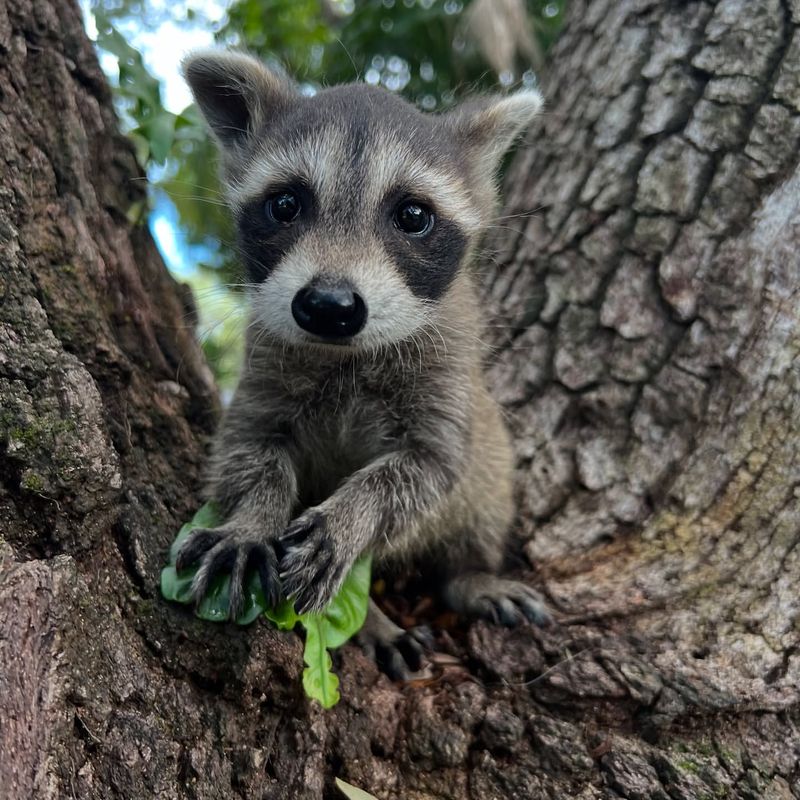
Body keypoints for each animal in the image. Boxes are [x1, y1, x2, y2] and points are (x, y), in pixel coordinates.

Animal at [175, 48, 552, 676]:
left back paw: (468, 574)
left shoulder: (447, 371)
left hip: (489, 462)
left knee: (483, 489)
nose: (329, 307)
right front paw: (253, 515)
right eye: (285, 204)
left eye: (413, 215)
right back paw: (372, 620)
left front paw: (354, 515)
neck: (343, 354)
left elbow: (426, 470)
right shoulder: (265, 365)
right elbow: (247, 450)